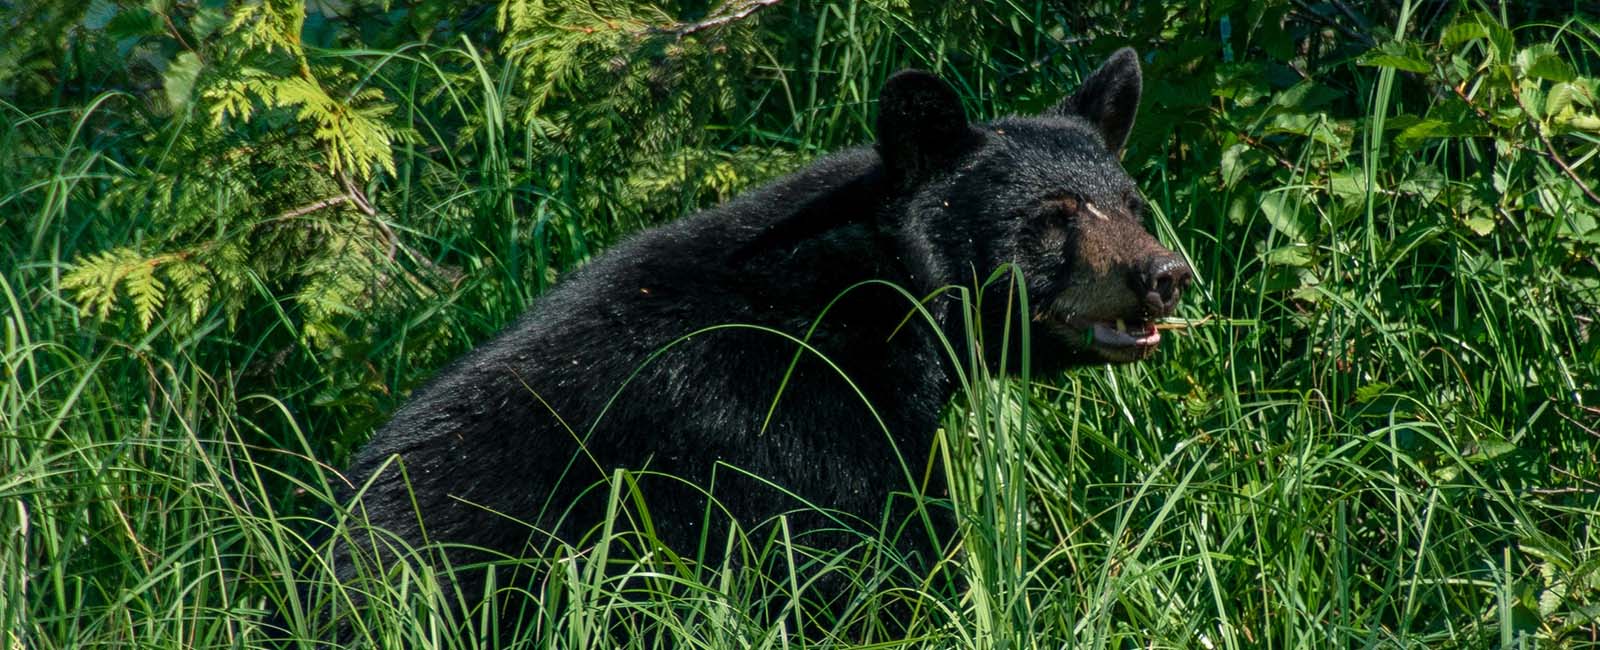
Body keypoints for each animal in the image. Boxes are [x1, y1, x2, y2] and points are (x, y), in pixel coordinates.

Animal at [328, 48, 1190, 637]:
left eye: (1132, 202)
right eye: (1054, 213)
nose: (1166, 274)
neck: (874, 297)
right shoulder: (790, 420)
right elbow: (873, 557)